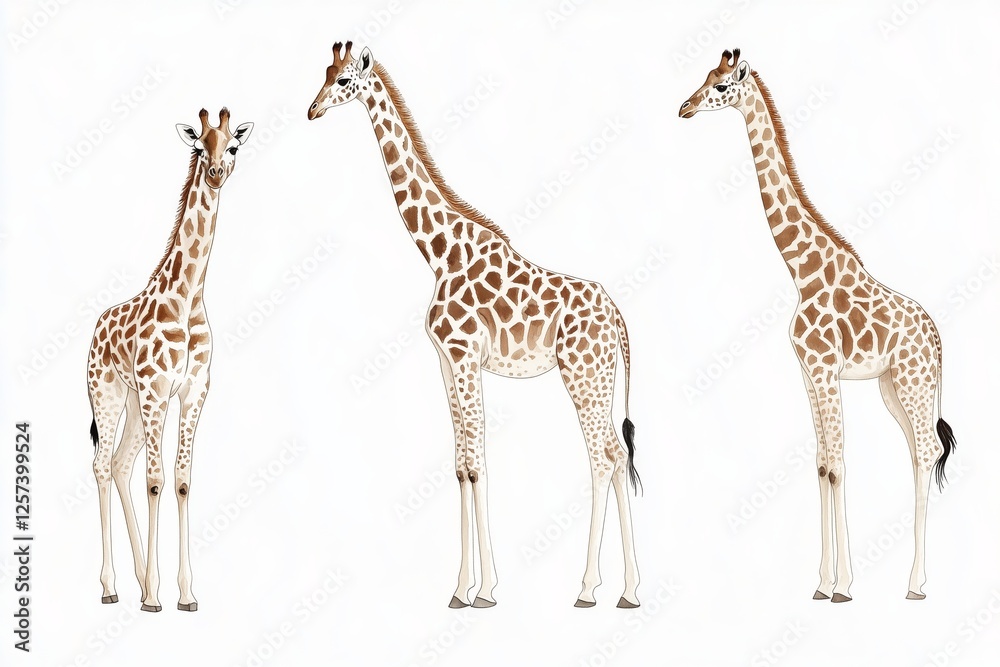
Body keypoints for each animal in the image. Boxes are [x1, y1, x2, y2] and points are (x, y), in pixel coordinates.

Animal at [87, 108, 253, 612]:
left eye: (232, 145)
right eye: (199, 146)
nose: (215, 172)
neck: (187, 297)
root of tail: (95, 328)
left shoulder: (193, 390)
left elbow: (180, 481)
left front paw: (184, 592)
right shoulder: (157, 389)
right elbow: (156, 481)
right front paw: (154, 597)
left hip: (135, 402)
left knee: (120, 464)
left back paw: (140, 577)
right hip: (109, 393)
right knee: (102, 466)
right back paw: (113, 586)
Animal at [308, 42, 641, 608]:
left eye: (346, 79)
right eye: (325, 73)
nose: (313, 109)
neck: (439, 252)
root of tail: (617, 315)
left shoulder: (465, 357)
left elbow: (479, 463)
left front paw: (484, 590)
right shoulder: (445, 362)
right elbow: (461, 465)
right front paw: (461, 587)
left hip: (582, 375)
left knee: (602, 458)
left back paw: (588, 588)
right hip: (600, 377)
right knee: (617, 456)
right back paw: (628, 589)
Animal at [680, 50, 957, 601]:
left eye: (720, 85)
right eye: (704, 77)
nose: (684, 107)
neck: (801, 270)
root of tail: (937, 338)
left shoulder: (827, 370)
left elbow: (839, 463)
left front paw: (845, 585)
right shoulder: (808, 373)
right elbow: (822, 462)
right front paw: (822, 581)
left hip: (914, 384)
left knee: (927, 450)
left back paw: (917, 583)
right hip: (893, 387)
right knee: (917, 452)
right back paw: (911, 578)